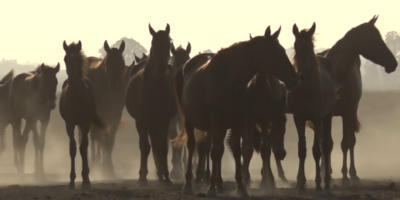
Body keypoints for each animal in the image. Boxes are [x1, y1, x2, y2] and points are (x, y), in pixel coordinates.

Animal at [59, 40, 106, 189]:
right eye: (65, 59)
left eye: (78, 60)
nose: (72, 80)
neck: (76, 96)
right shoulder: (69, 124)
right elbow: (73, 148)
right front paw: (72, 180)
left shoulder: (85, 123)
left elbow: (84, 147)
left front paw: (86, 179)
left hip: (83, 124)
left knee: (84, 144)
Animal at [86, 39, 129, 177]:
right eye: (107, 65)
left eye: (121, 64)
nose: (114, 88)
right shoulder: (101, 116)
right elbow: (103, 140)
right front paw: (103, 166)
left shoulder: (115, 117)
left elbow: (109, 141)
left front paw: (109, 167)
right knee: (93, 137)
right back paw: (94, 162)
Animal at [125, 23, 175, 186]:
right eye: (154, 43)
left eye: (168, 43)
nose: (160, 68)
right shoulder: (143, 120)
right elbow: (145, 147)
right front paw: (142, 176)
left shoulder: (165, 120)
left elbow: (163, 147)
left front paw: (166, 176)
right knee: (148, 145)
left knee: (157, 145)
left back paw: (160, 174)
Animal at [175, 26, 296, 197]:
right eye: (275, 52)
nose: (294, 77)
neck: (229, 79)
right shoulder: (219, 120)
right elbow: (217, 151)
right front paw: (211, 188)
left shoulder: (239, 121)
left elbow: (237, 151)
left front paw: (241, 187)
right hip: (190, 121)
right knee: (193, 146)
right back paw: (188, 185)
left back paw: (218, 183)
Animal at [316, 15, 396, 186]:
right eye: (374, 39)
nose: (393, 63)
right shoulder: (328, 114)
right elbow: (328, 143)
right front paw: (328, 173)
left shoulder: (347, 112)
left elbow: (346, 143)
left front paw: (347, 175)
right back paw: (327, 170)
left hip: (351, 113)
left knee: (350, 141)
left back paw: (351, 174)